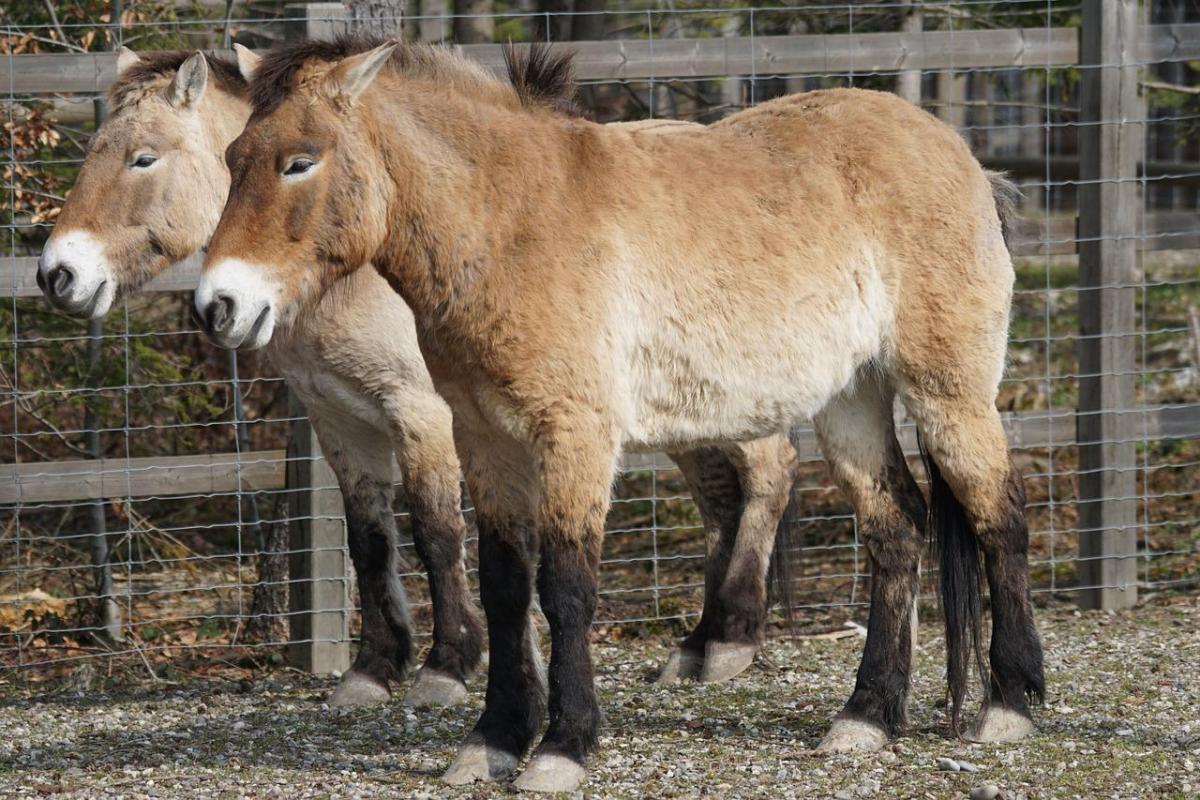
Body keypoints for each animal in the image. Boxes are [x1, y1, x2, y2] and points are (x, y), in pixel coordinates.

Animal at [37, 45, 806, 705]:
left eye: (142, 158)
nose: (57, 274)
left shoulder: (424, 414)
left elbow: (436, 533)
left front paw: (448, 664)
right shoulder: (339, 421)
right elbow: (371, 540)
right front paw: (375, 668)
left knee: (769, 470)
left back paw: (730, 641)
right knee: (722, 498)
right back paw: (700, 642)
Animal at [194, 38, 1041, 796]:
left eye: (300, 160)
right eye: (232, 157)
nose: (218, 305)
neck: (510, 224)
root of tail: (965, 159)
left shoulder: (575, 436)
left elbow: (567, 587)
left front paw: (562, 749)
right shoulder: (485, 439)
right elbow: (506, 585)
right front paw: (492, 742)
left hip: (947, 394)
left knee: (999, 516)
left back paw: (1009, 705)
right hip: (851, 402)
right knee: (897, 530)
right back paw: (868, 716)